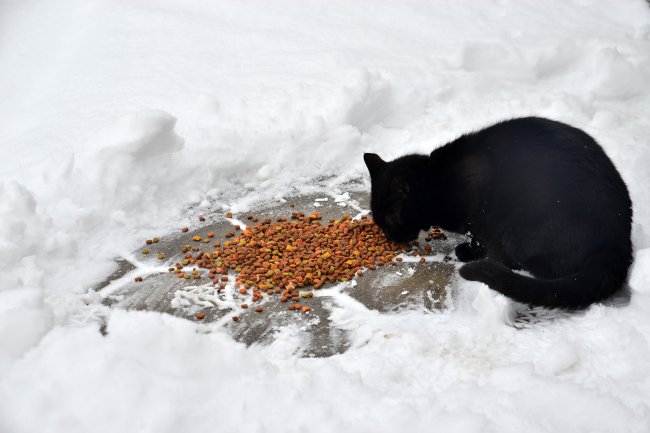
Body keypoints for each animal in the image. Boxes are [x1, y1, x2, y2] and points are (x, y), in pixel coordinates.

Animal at [368, 116, 632, 308]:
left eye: (389, 223)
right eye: (379, 224)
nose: (390, 239)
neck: (436, 181)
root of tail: (619, 239)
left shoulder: (479, 211)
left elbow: (478, 237)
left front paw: (467, 251)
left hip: (518, 227)